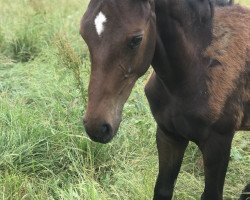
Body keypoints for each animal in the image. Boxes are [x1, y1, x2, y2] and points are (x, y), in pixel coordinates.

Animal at [80, 0, 250, 199]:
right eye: (84, 34)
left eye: (136, 39)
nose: (97, 127)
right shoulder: (168, 135)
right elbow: (162, 189)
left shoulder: (218, 144)